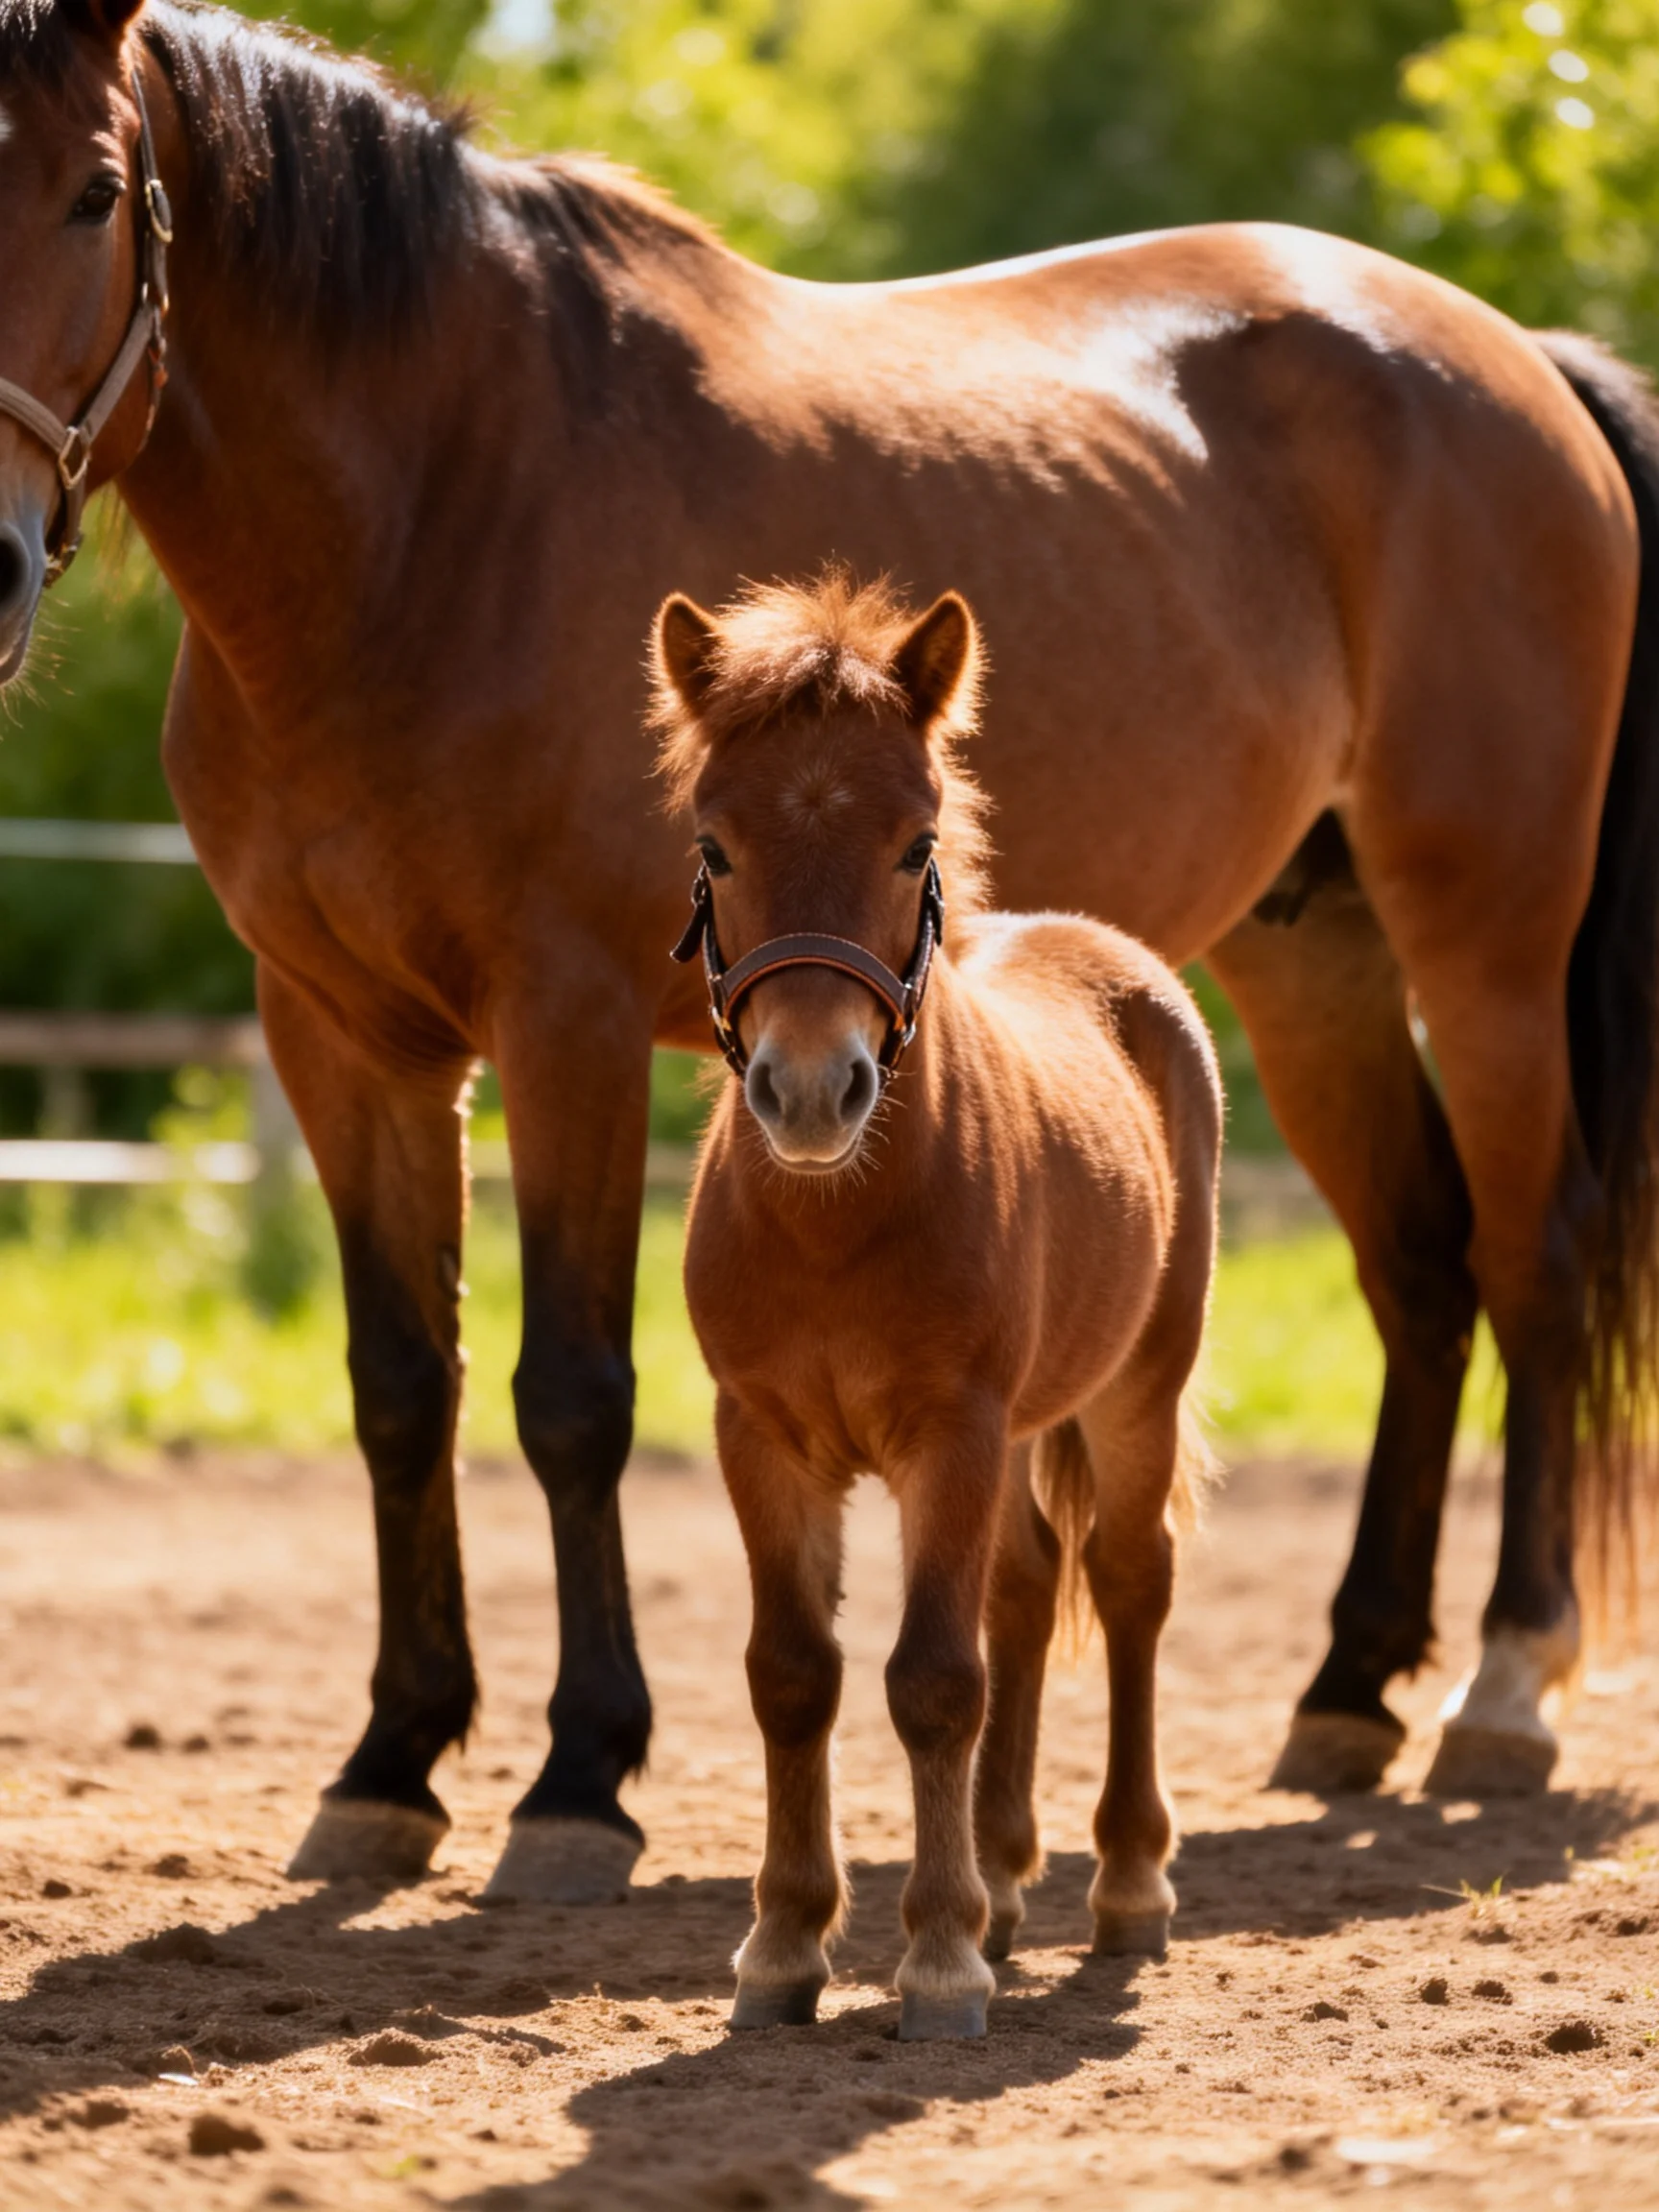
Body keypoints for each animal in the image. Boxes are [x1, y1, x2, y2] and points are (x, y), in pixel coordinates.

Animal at [656, 573, 1221, 2040]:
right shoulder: (765, 1438)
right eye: (714, 849)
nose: (810, 1092)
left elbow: (931, 1678)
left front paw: (941, 1958)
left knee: (1129, 1580)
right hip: (1029, 1422)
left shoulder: (947, 1434)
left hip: (1138, 1385)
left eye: (915, 845)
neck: (836, 1219)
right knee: (1025, 1583)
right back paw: (1013, 1878)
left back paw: (1125, 1886)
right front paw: (783, 1947)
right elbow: (794, 1674)